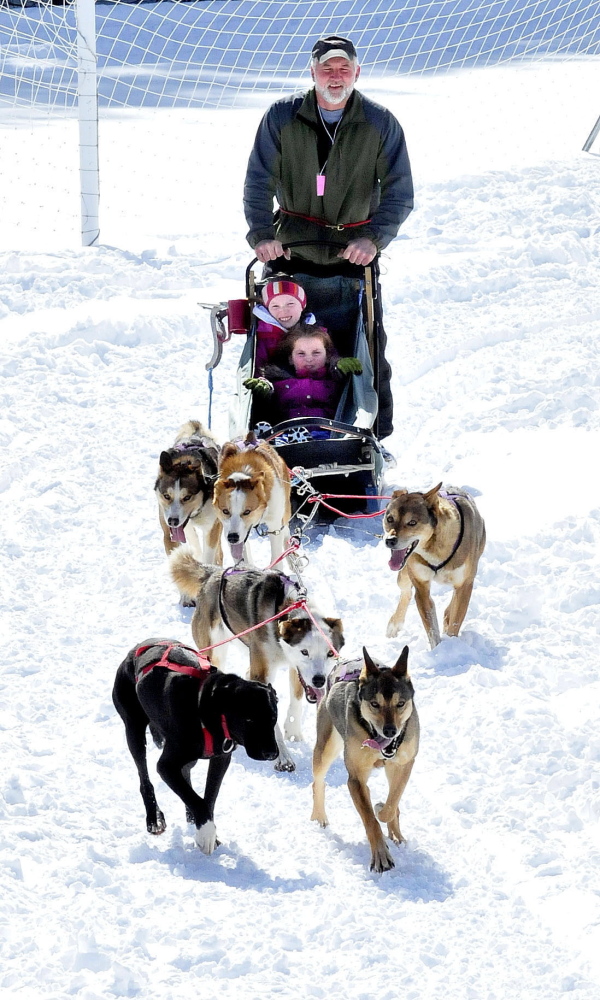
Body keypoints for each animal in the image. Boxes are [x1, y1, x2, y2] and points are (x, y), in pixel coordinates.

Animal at [112, 640, 278, 852]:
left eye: (273, 719)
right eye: (249, 720)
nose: (272, 753)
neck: (205, 707)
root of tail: (137, 648)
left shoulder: (221, 758)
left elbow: (208, 798)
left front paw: (207, 829)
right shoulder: (166, 766)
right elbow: (197, 801)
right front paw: (206, 834)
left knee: (186, 774)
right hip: (133, 728)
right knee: (144, 777)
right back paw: (154, 818)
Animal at [155, 418, 223, 604]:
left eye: (187, 497)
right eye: (166, 496)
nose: (173, 521)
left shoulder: (212, 529)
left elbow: (209, 556)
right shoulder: (169, 535)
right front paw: (185, 596)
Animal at [384, 484, 488, 648]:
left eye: (412, 522)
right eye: (390, 519)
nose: (390, 540)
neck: (435, 547)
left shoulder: (464, 584)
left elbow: (455, 620)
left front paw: (451, 646)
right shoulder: (421, 586)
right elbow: (431, 626)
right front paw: (438, 648)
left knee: (452, 604)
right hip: (405, 573)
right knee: (406, 591)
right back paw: (395, 624)